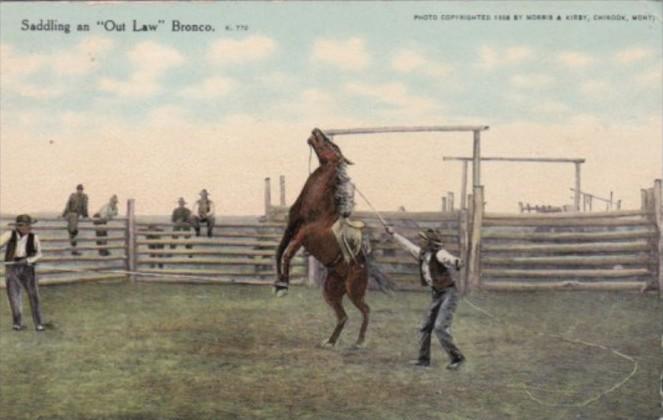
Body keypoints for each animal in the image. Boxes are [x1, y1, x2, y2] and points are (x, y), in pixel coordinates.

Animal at [274, 128, 390, 348]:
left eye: (333, 145)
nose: (315, 131)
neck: (318, 210)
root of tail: (365, 266)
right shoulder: (290, 230)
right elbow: (278, 253)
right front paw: (279, 285)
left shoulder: (302, 236)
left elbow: (287, 254)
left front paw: (283, 286)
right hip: (331, 291)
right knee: (343, 316)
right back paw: (330, 341)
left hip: (354, 290)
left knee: (365, 309)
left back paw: (360, 341)